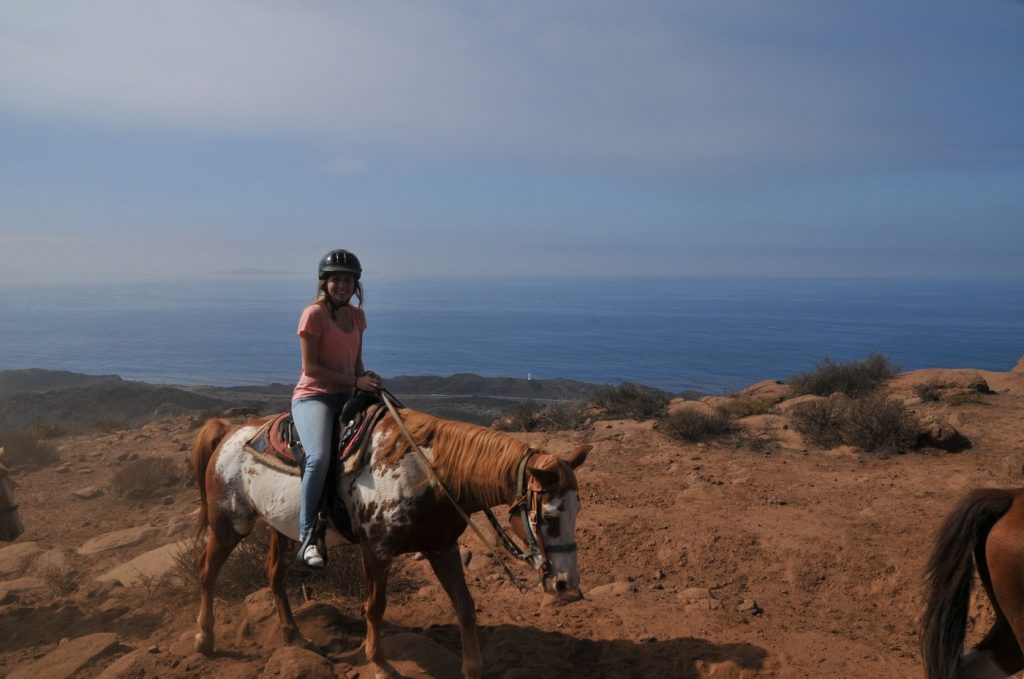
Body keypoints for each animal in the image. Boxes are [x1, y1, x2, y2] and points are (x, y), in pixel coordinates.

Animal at [192, 405, 593, 675]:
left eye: (577, 509)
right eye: (548, 517)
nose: (566, 584)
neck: (428, 474)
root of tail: (229, 431)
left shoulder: (441, 547)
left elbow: (465, 606)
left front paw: (472, 668)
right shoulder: (377, 552)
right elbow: (375, 607)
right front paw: (380, 664)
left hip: (282, 528)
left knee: (274, 575)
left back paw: (294, 637)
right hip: (229, 524)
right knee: (207, 574)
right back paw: (204, 640)